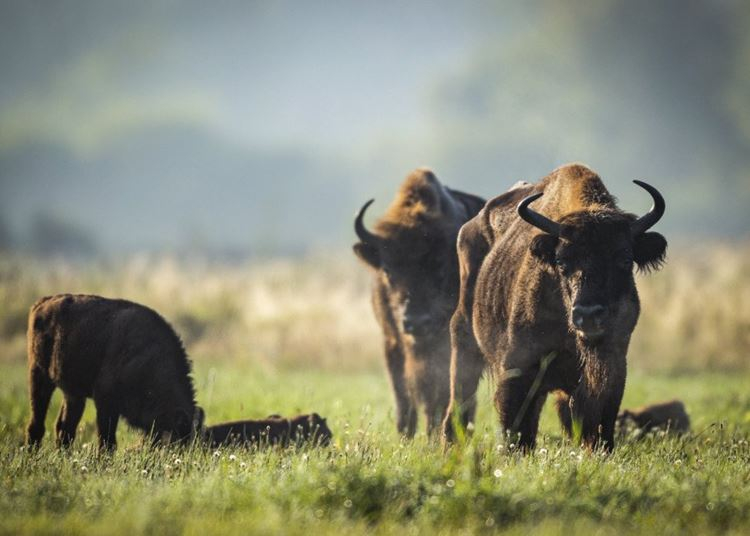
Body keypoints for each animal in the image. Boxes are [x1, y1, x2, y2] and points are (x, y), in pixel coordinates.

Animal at [25, 296, 203, 450]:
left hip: (73, 394)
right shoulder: (105, 401)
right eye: (176, 440)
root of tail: (42, 303)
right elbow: (107, 440)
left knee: (65, 427)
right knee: (37, 423)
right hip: (39, 376)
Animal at [354, 168, 484, 436]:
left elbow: (440, 395)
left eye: (440, 266)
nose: (416, 322)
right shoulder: (392, 343)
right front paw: (405, 436)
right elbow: (403, 396)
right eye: (388, 269)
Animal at [444, 164, 668, 452]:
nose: (588, 315)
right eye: (561, 261)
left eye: (625, 258)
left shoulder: (613, 367)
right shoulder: (518, 367)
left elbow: (598, 423)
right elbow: (513, 426)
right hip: (464, 341)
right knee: (460, 402)